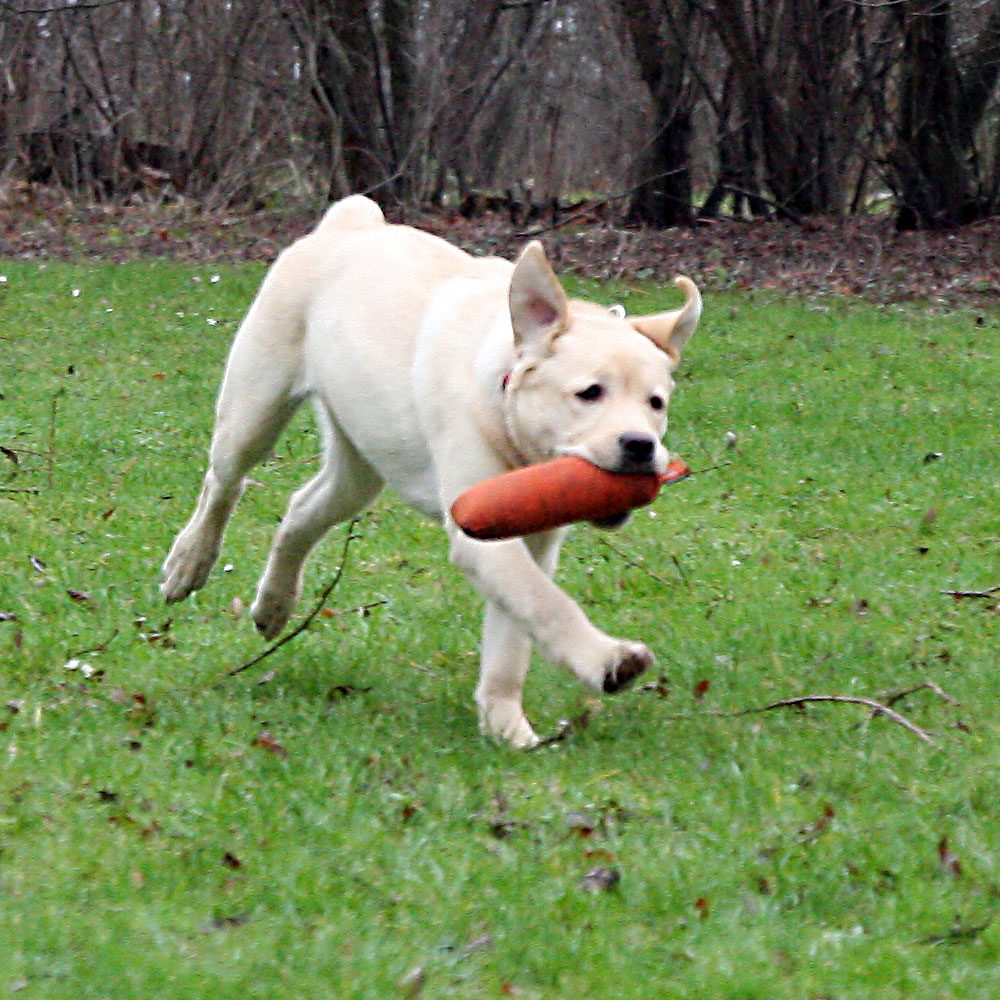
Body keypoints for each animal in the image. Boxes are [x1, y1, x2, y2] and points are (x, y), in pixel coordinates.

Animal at [160, 195, 700, 748]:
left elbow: (514, 633)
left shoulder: (530, 535)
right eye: (589, 392)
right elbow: (546, 603)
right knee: (223, 484)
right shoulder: (479, 529)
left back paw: (274, 604)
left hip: (358, 467)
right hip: (255, 407)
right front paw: (608, 661)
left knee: (300, 512)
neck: (505, 406)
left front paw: (508, 729)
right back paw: (189, 563)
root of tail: (352, 223)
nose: (640, 446)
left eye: (656, 403)